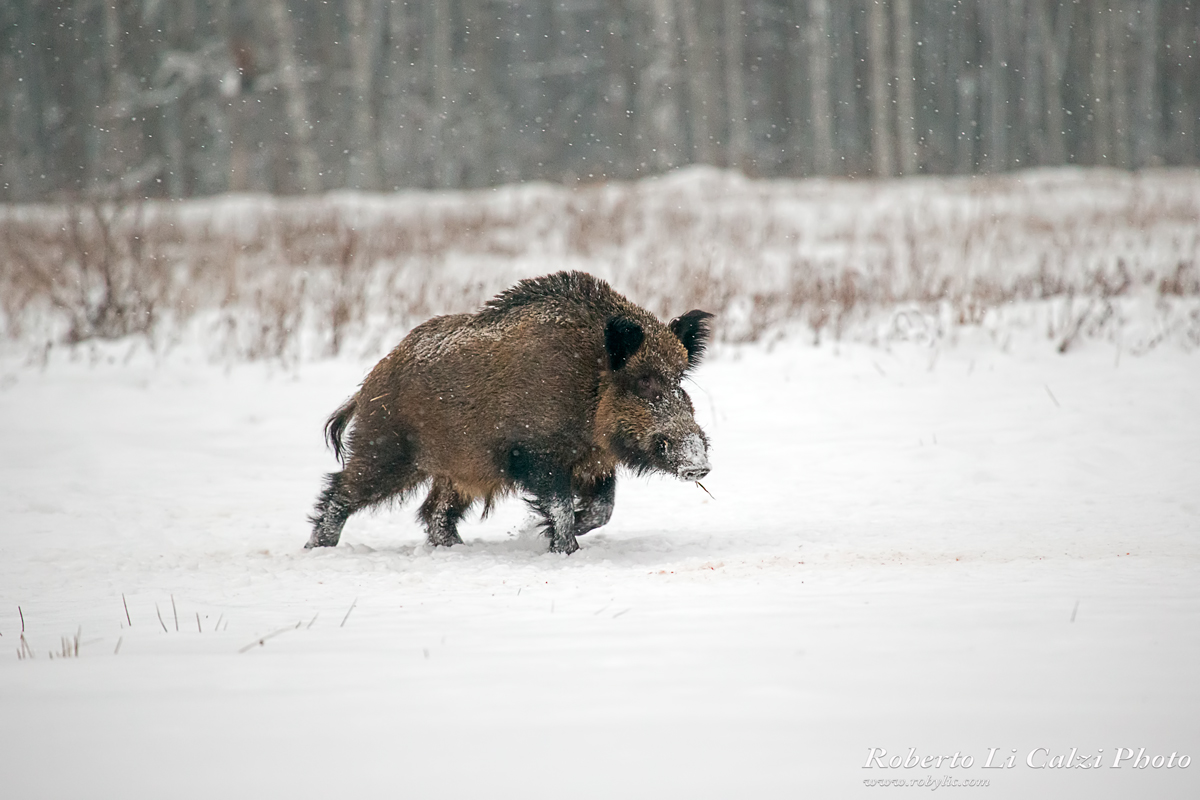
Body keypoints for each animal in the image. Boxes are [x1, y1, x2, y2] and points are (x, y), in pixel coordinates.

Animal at [307, 270, 713, 554]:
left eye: (680, 379)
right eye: (643, 380)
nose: (699, 464)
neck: (586, 383)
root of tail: (367, 387)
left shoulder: (594, 462)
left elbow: (603, 508)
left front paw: (544, 533)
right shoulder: (535, 454)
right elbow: (561, 508)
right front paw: (564, 549)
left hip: (458, 471)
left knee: (434, 512)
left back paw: (456, 549)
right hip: (387, 450)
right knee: (342, 492)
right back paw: (318, 548)